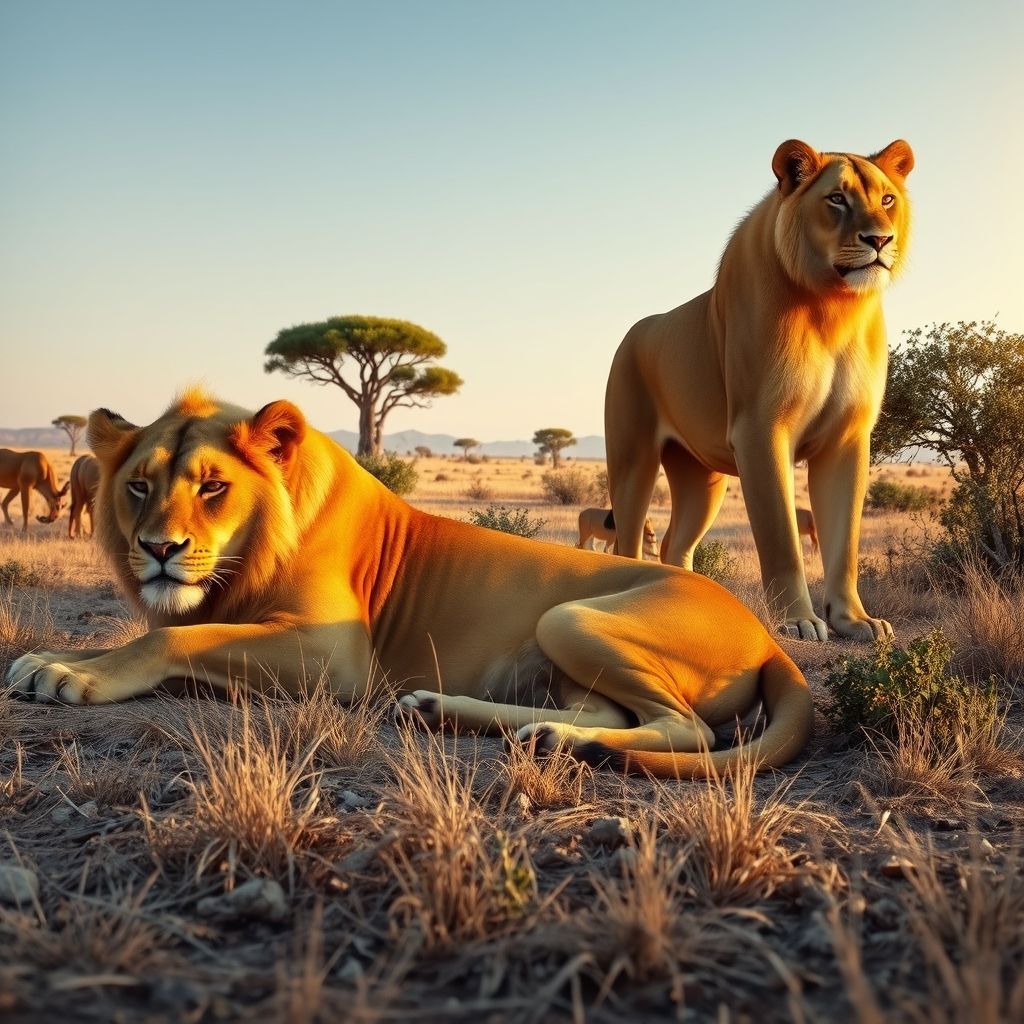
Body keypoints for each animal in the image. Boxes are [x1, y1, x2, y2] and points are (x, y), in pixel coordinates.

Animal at [5, 390, 813, 778]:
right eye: (139, 486)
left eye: (212, 487)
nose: (158, 551)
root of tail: (772, 640)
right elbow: (150, 630)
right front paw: (48, 660)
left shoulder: (338, 659)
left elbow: (172, 636)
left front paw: (75, 677)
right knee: (611, 715)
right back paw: (467, 718)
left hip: (568, 619)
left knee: (689, 728)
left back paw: (556, 740)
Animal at [605, 139, 913, 641]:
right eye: (837, 199)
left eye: (887, 199)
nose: (880, 240)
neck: (832, 308)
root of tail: (632, 334)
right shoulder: (760, 429)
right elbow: (781, 538)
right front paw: (798, 621)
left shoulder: (848, 437)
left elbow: (844, 540)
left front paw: (855, 621)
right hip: (632, 460)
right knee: (627, 543)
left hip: (702, 480)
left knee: (674, 544)